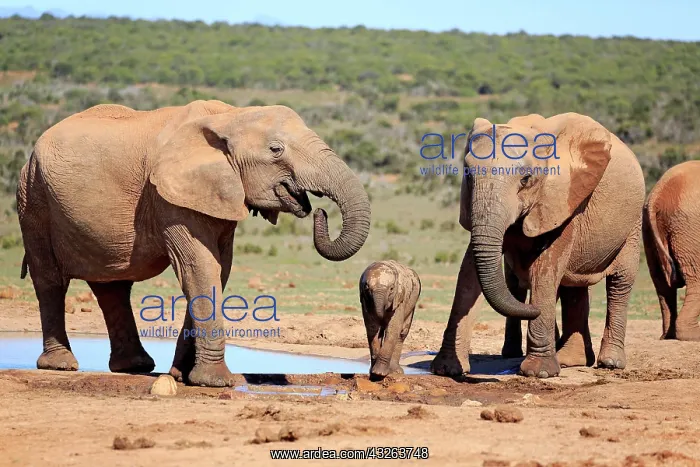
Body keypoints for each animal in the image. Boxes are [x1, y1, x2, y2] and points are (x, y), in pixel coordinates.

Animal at [16, 99, 371, 387]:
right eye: (276, 150)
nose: (318, 210)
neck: (230, 117)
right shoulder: (168, 196)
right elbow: (198, 266)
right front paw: (215, 382)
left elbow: (218, 269)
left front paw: (180, 375)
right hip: (32, 196)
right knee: (50, 280)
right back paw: (61, 365)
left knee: (112, 287)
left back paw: (136, 367)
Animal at [430, 112, 645, 378]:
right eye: (468, 175)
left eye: (525, 179)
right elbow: (469, 271)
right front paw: (446, 369)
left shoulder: (564, 199)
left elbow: (545, 269)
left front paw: (539, 372)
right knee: (572, 288)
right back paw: (570, 360)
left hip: (633, 222)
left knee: (619, 283)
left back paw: (609, 363)